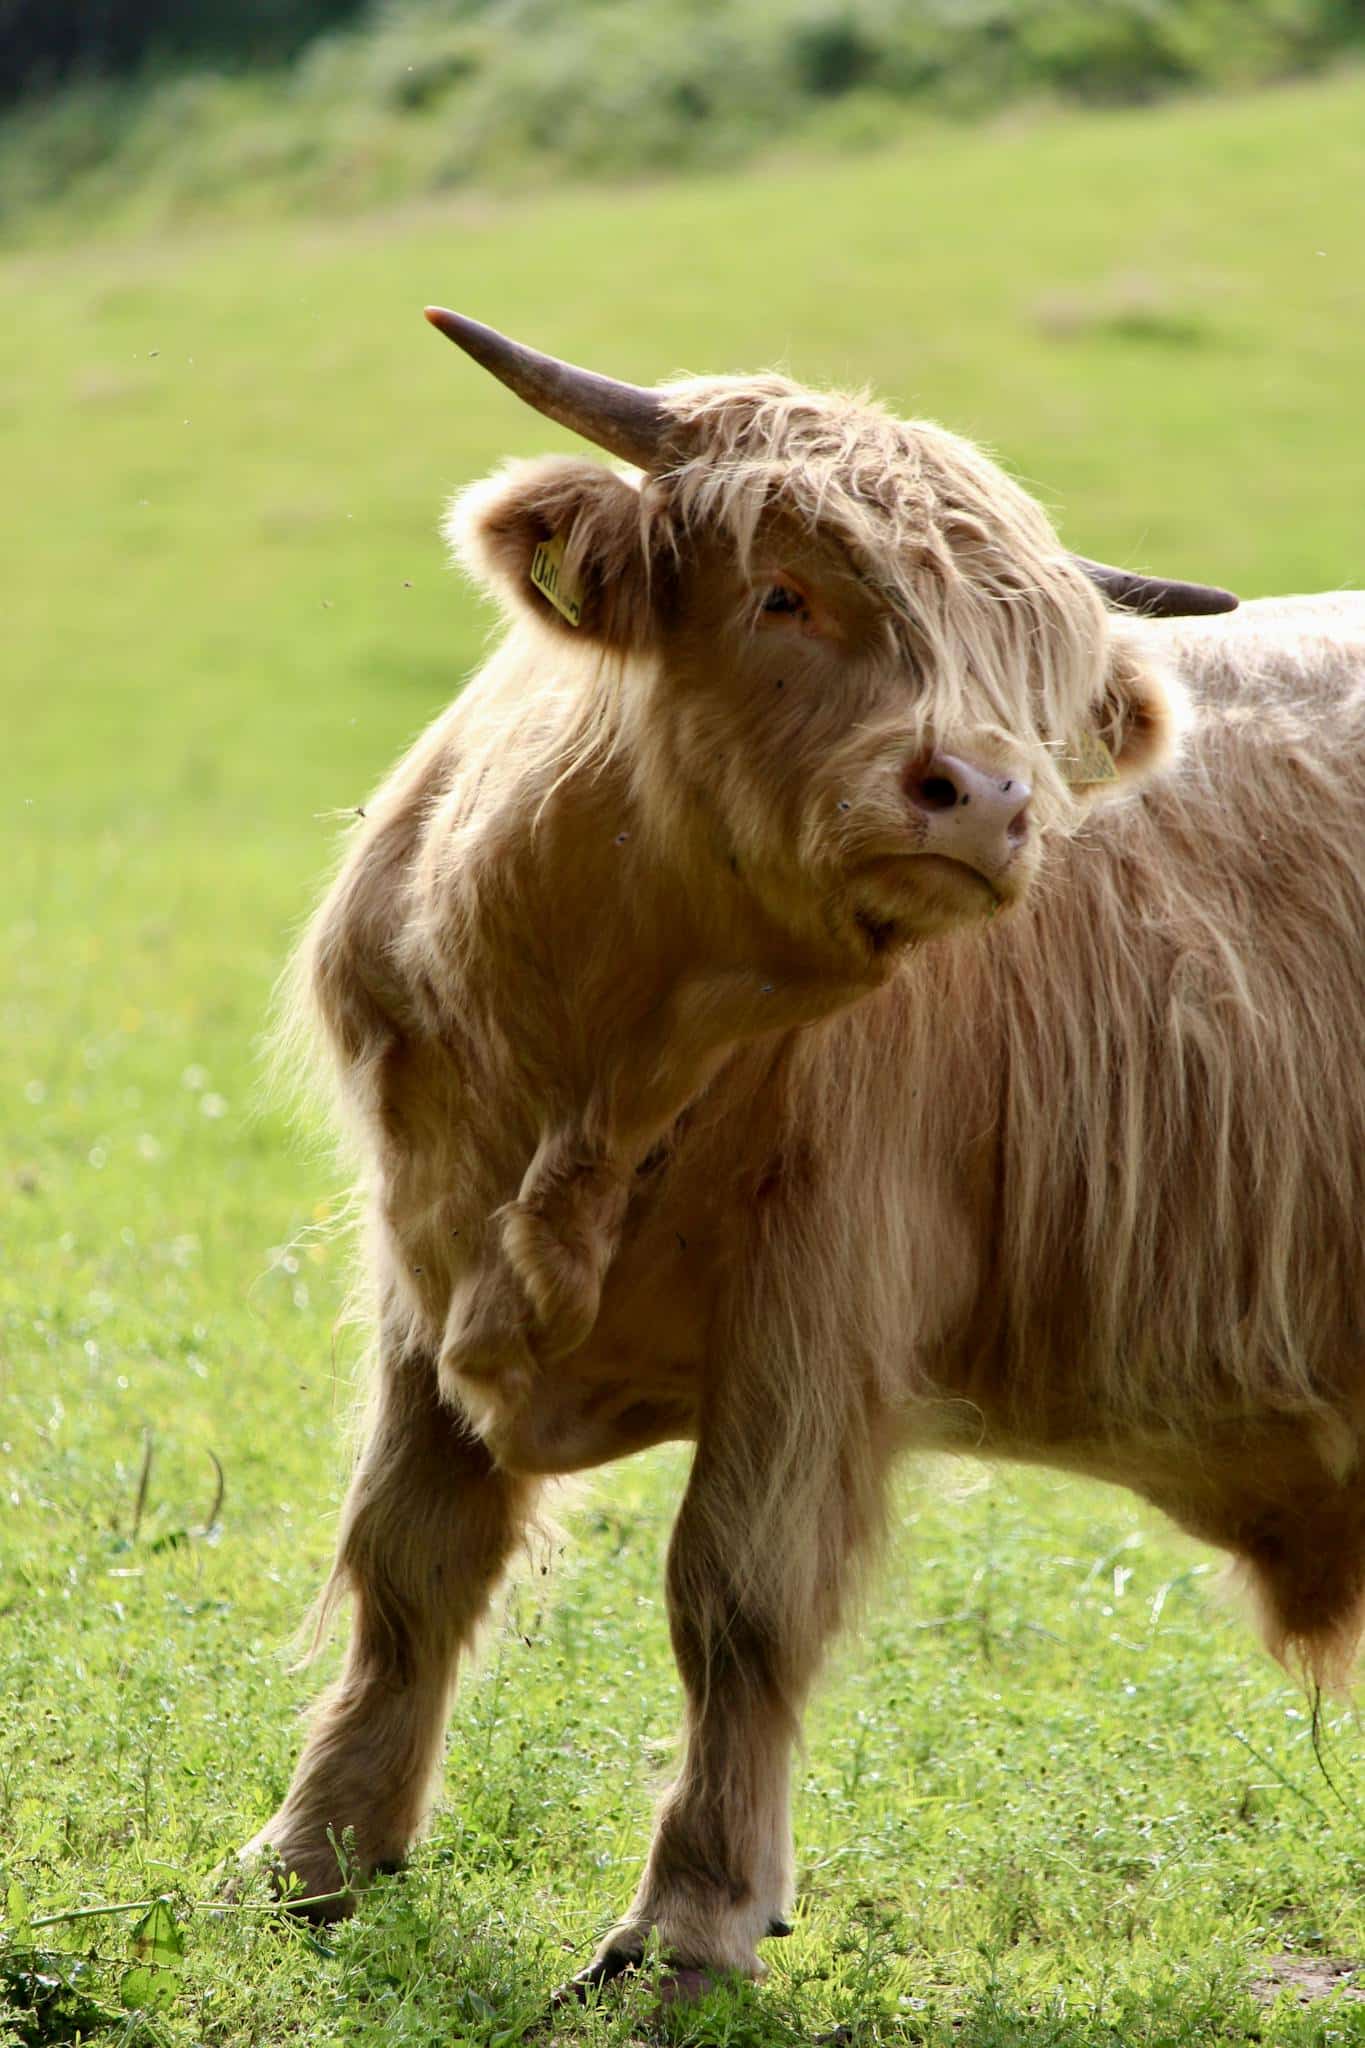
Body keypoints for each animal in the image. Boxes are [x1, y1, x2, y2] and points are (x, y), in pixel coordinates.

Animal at [242, 312, 1365, 1998]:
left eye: (1037, 680)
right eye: (789, 593)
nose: (988, 796)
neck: (587, 1080)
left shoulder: (821, 1302)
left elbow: (737, 1599)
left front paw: (689, 1922)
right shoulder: (417, 1263)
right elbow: (407, 1560)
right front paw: (312, 1855)